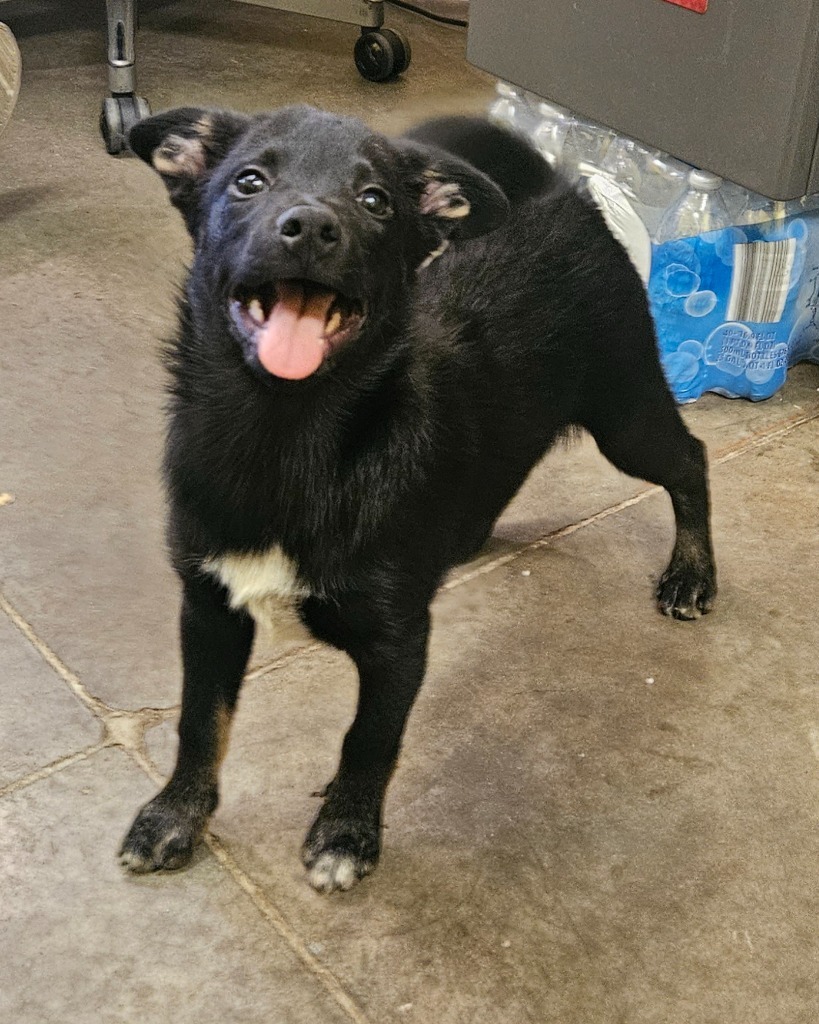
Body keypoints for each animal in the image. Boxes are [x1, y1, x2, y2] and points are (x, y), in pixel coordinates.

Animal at [118, 99, 712, 892]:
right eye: (248, 181)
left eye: (375, 201)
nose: (311, 226)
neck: (286, 434)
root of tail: (564, 197)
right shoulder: (208, 610)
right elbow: (198, 721)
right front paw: (174, 813)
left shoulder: (399, 644)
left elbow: (368, 739)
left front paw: (345, 833)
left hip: (627, 415)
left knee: (690, 461)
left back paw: (692, 574)